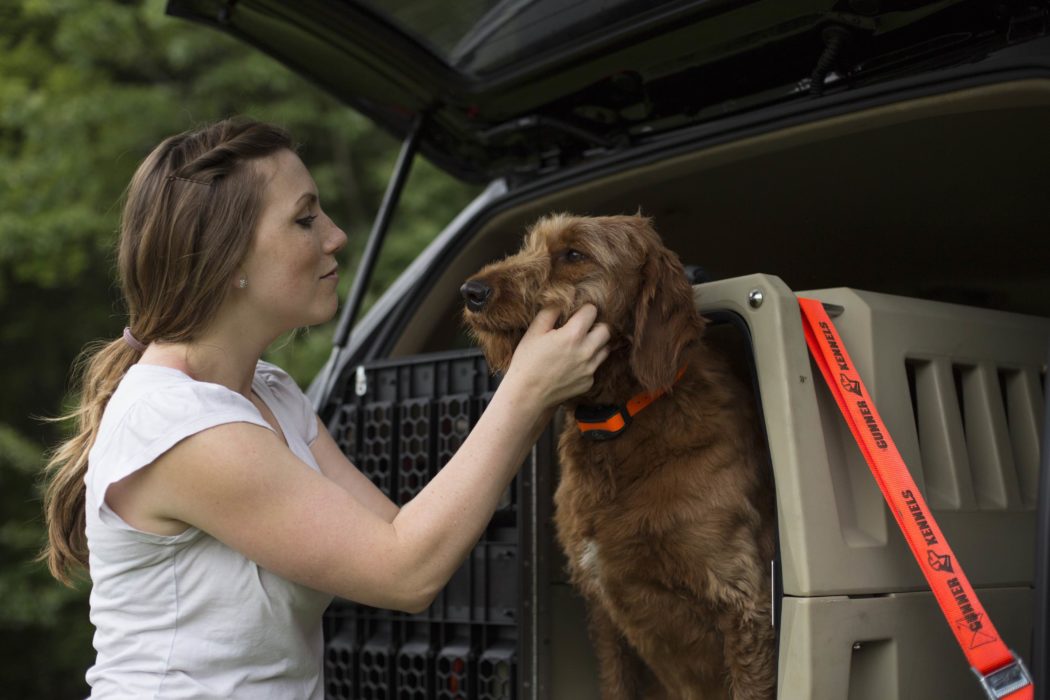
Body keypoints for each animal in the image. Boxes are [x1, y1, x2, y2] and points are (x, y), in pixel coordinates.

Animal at [464, 215, 776, 700]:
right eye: (529, 246)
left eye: (574, 254)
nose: (471, 291)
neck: (619, 423)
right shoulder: (605, 609)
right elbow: (616, 682)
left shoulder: (744, 602)